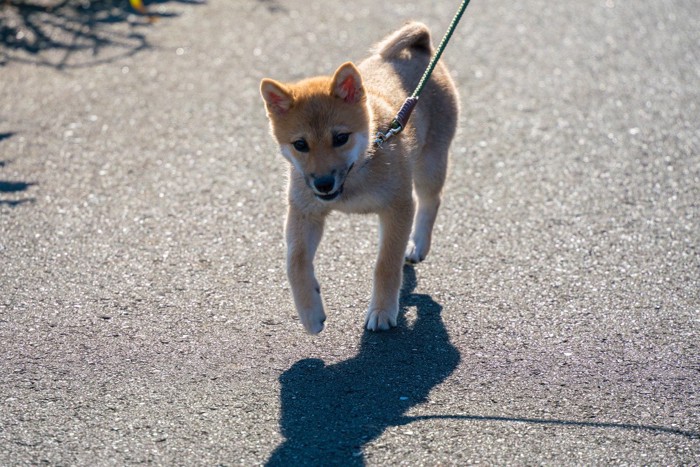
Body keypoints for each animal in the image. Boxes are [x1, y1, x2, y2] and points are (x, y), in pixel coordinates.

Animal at [262, 22, 460, 334]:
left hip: (430, 164)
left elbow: (385, 264)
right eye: (300, 144)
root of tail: (422, 49)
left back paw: (418, 244)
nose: (323, 184)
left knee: (431, 200)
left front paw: (381, 310)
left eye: (340, 138)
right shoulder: (304, 212)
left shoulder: (398, 207)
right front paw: (310, 313)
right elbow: (294, 263)